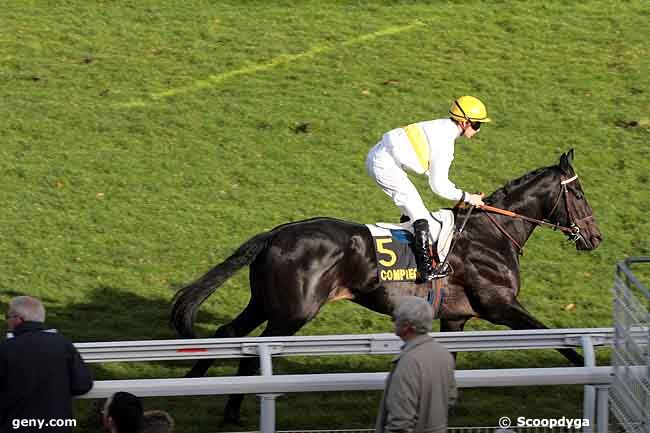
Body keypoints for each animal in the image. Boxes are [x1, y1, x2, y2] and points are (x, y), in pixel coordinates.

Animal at [170, 148, 600, 422]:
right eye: (578, 193)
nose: (595, 238)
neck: (490, 236)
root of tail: (276, 233)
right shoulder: (501, 306)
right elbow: (561, 342)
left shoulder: (456, 319)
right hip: (292, 312)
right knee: (253, 352)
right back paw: (227, 408)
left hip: (267, 302)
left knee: (230, 334)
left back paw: (197, 390)